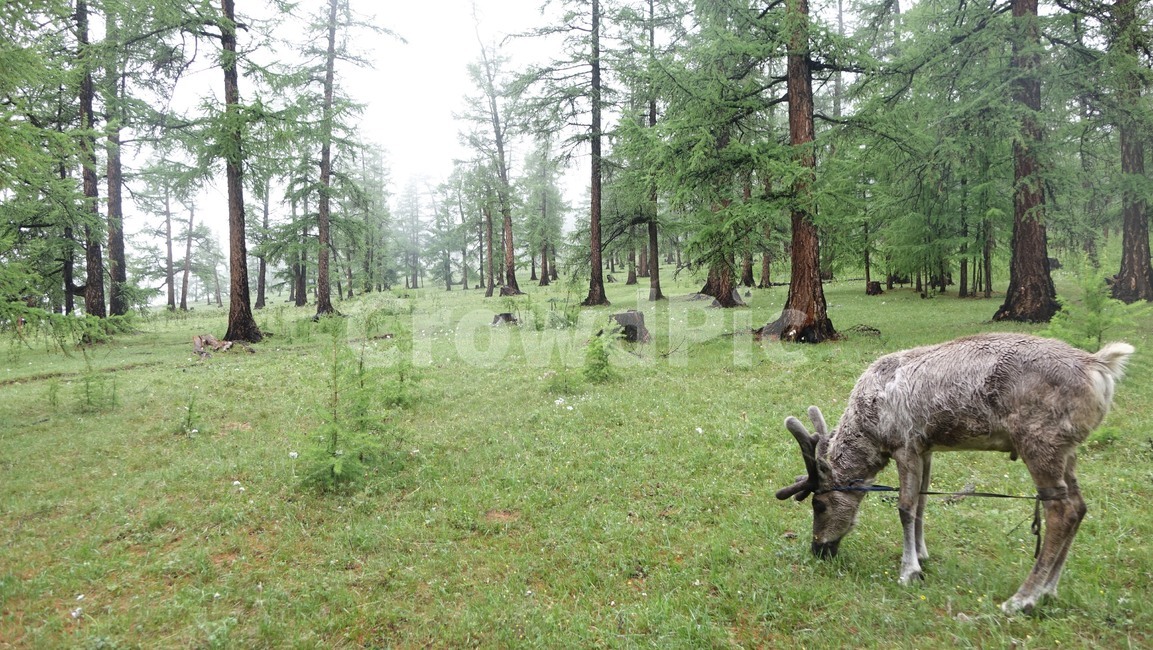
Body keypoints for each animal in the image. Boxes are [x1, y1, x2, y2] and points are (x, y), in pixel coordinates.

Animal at [775, 333, 1134, 614]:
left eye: (818, 504)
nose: (819, 549)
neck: (870, 431)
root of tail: (1100, 367)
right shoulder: (927, 448)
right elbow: (922, 504)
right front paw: (922, 554)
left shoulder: (905, 443)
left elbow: (905, 508)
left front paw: (908, 571)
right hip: (1069, 450)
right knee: (1080, 506)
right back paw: (1048, 590)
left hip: (1040, 442)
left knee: (1061, 510)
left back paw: (1023, 598)